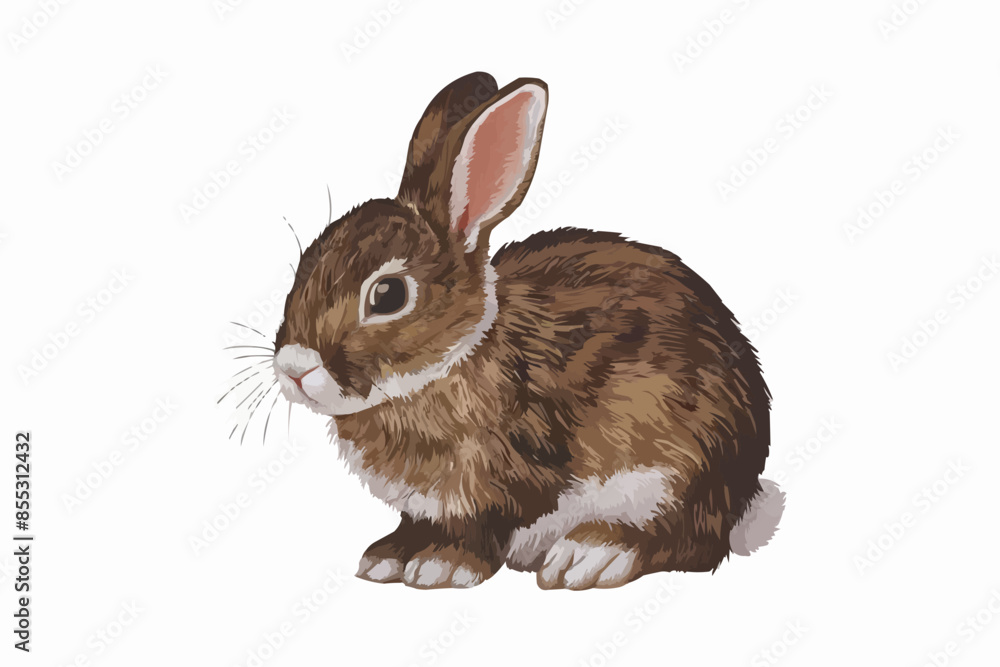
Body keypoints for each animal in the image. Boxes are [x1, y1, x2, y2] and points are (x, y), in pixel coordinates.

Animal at [270, 71, 783, 590]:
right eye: (306, 263)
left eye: (389, 295)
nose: (294, 367)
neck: (448, 365)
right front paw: (387, 558)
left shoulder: (512, 477)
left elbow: (481, 529)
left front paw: (441, 567)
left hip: (682, 466)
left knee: (687, 539)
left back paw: (591, 554)